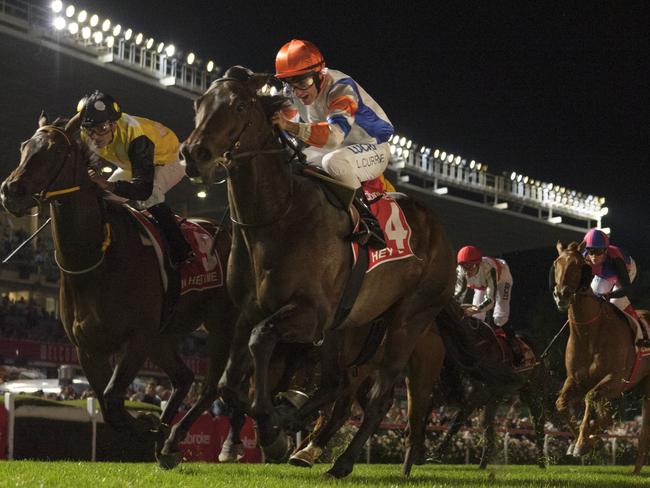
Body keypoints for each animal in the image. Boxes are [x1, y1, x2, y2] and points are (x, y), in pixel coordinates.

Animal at [0, 112, 238, 468]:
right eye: (24, 146)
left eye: (54, 150)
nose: (10, 191)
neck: (96, 260)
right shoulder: (88, 348)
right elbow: (108, 406)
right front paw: (151, 426)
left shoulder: (137, 338)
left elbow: (113, 398)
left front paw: (150, 425)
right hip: (164, 335)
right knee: (184, 377)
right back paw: (166, 438)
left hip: (222, 323)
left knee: (211, 386)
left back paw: (175, 439)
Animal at [180, 66, 456, 478]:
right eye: (199, 103)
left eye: (240, 105)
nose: (194, 154)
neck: (278, 216)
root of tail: (440, 231)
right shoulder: (248, 310)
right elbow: (229, 384)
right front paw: (274, 426)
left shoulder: (310, 315)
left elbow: (261, 341)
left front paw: (272, 427)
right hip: (348, 326)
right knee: (336, 385)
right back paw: (303, 434)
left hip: (410, 319)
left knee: (380, 396)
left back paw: (343, 462)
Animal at [552, 240, 648, 472]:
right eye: (556, 263)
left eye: (577, 265)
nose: (561, 295)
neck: (589, 332)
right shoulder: (575, 380)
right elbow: (561, 404)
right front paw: (583, 441)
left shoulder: (615, 378)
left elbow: (591, 398)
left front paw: (582, 443)